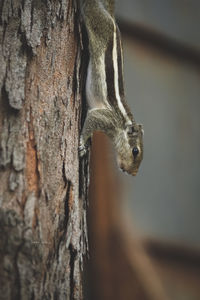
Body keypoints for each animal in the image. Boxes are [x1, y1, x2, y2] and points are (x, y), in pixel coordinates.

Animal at [79, 0, 143, 176]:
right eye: (135, 151)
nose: (133, 174)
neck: (122, 126)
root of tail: (112, 20)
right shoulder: (105, 118)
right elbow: (91, 120)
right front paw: (82, 143)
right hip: (96, 22)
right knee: (89, 8)